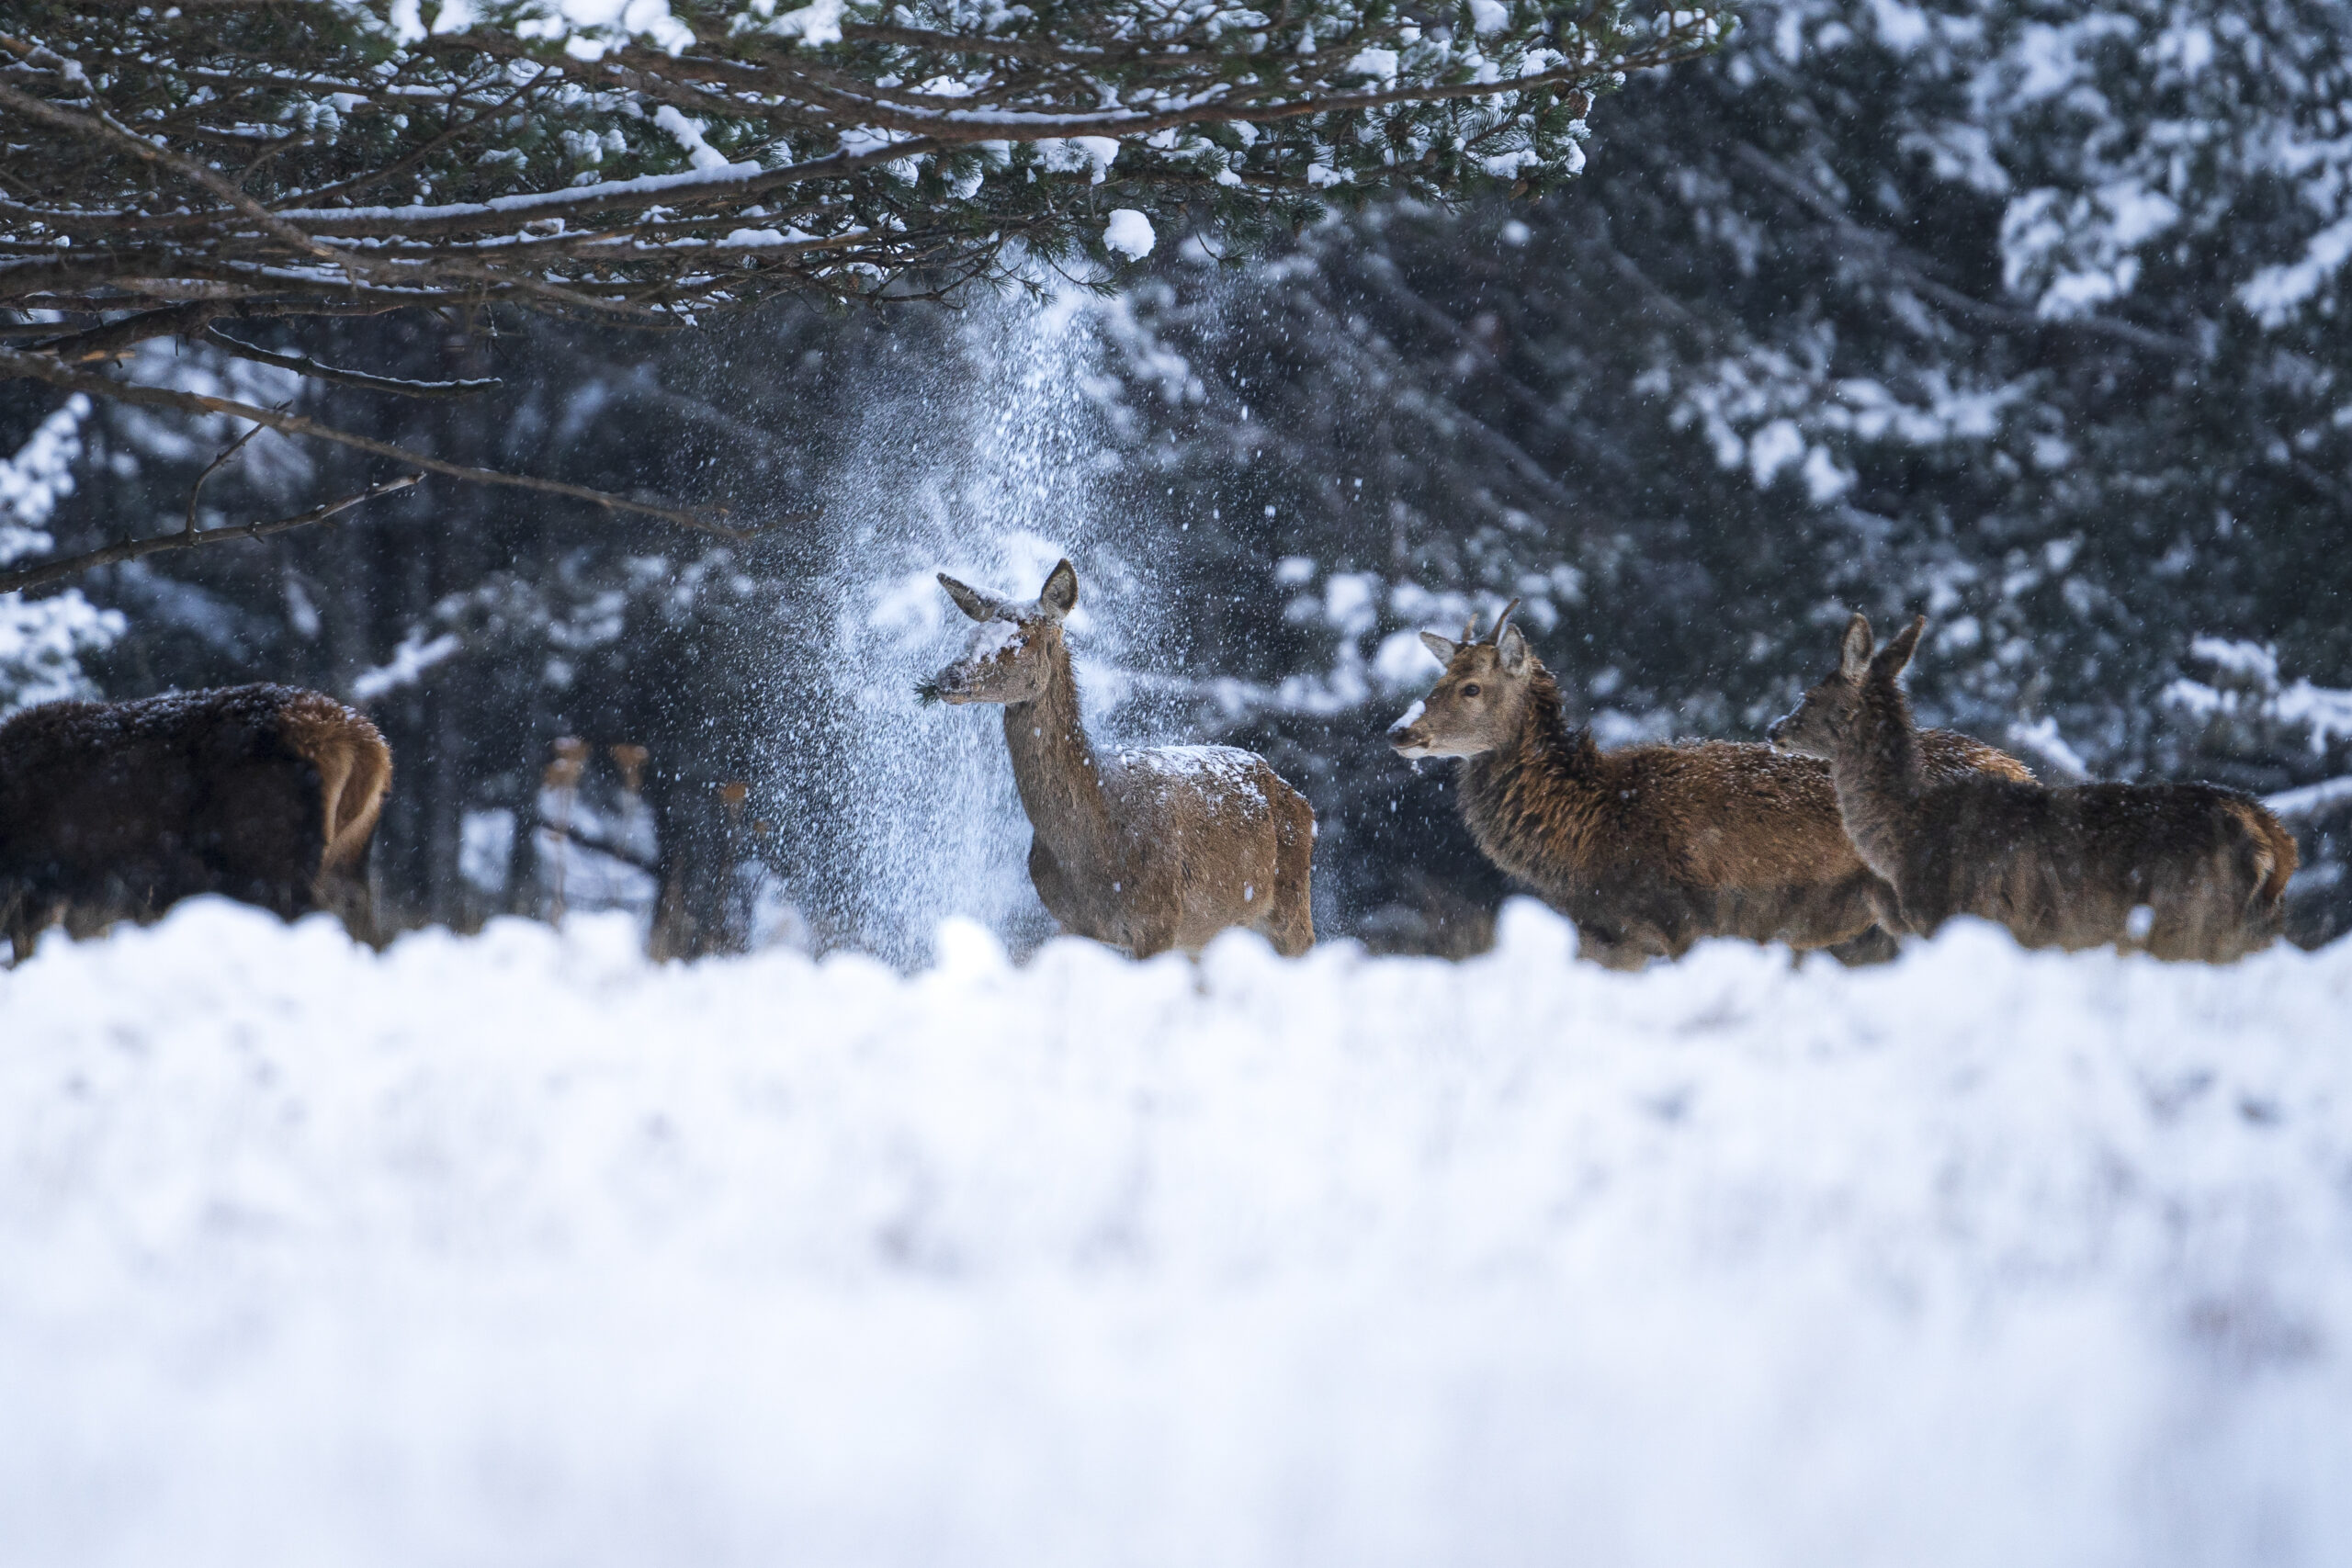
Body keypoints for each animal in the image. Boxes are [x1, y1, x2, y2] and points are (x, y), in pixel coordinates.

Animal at [921, 558, 1316, 958]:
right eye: (974, 632)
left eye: (1023, 638)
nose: (949, 676)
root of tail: (1298, 797)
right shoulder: (1070, 922)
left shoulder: (1159, 916)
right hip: (1207, 935)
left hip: (1291, 903)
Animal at [1386, 601, 2035, 970]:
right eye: (1438, 678)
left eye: (1471, 686)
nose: (1401, 731)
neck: (1588, 831)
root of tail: (2023, 770)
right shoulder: (1604, 937)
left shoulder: (1685, 921)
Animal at [1768, 613, 2295, 962]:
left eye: (1810, 696)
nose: (1775, 729)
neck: (1907, 835)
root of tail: (2275, 840)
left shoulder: (1959, 919)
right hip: (2247, 930)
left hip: (2194, 924)